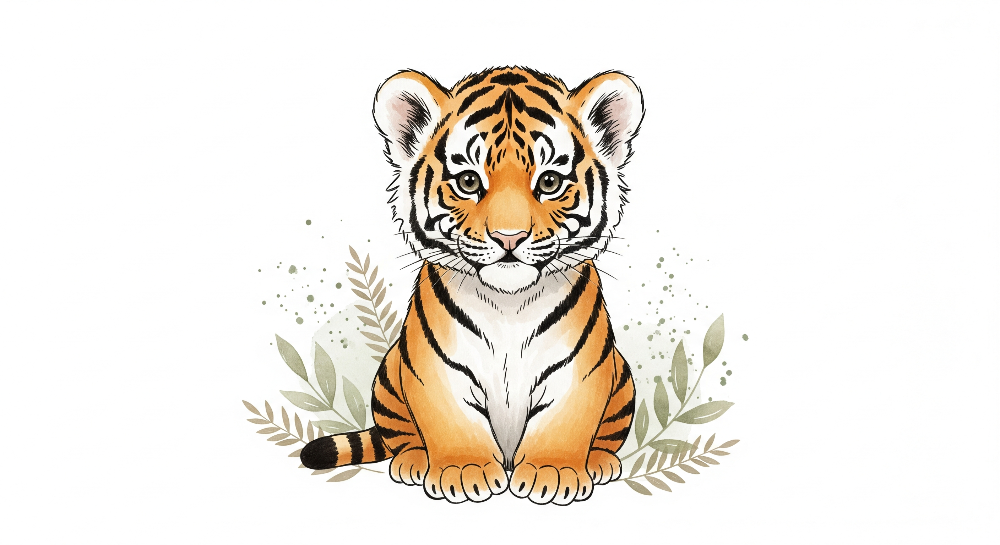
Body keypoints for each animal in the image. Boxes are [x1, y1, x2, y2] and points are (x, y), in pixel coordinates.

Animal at [301, 67, 643, 505]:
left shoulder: (577, 369)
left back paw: (600, 462)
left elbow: (563, 421)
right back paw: (412, 461)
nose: (509, 237)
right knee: (402, 437)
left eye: (550, 182)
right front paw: (465, 471)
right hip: (391, 376)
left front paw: (553, 472)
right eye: (468, 181)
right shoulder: (436, 368)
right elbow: (452, 419)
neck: (510, 305)